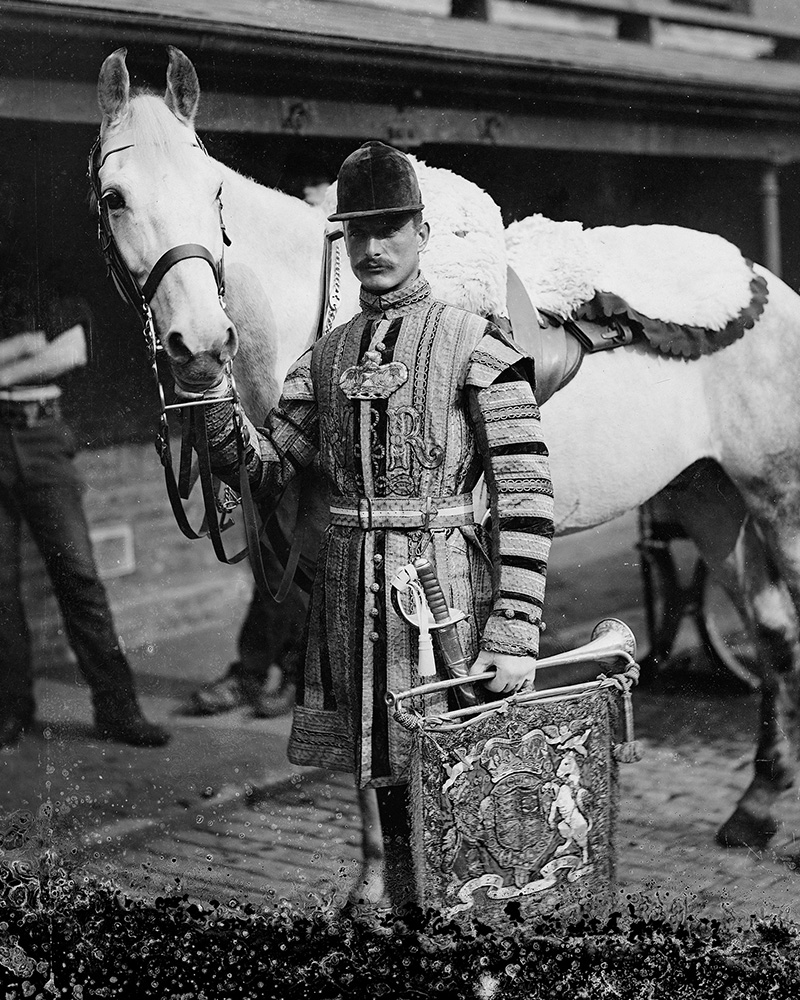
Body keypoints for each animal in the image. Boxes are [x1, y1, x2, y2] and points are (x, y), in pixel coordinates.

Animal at [97, 45, 800, 876]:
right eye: (114, 197)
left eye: (214, 194)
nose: (201, 343)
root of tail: (764, 284)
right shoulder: (337, 565)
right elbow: (367, 734)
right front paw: (375, 882)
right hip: (708, 496)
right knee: (771, 632)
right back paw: (755, 806)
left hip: (779, 497)